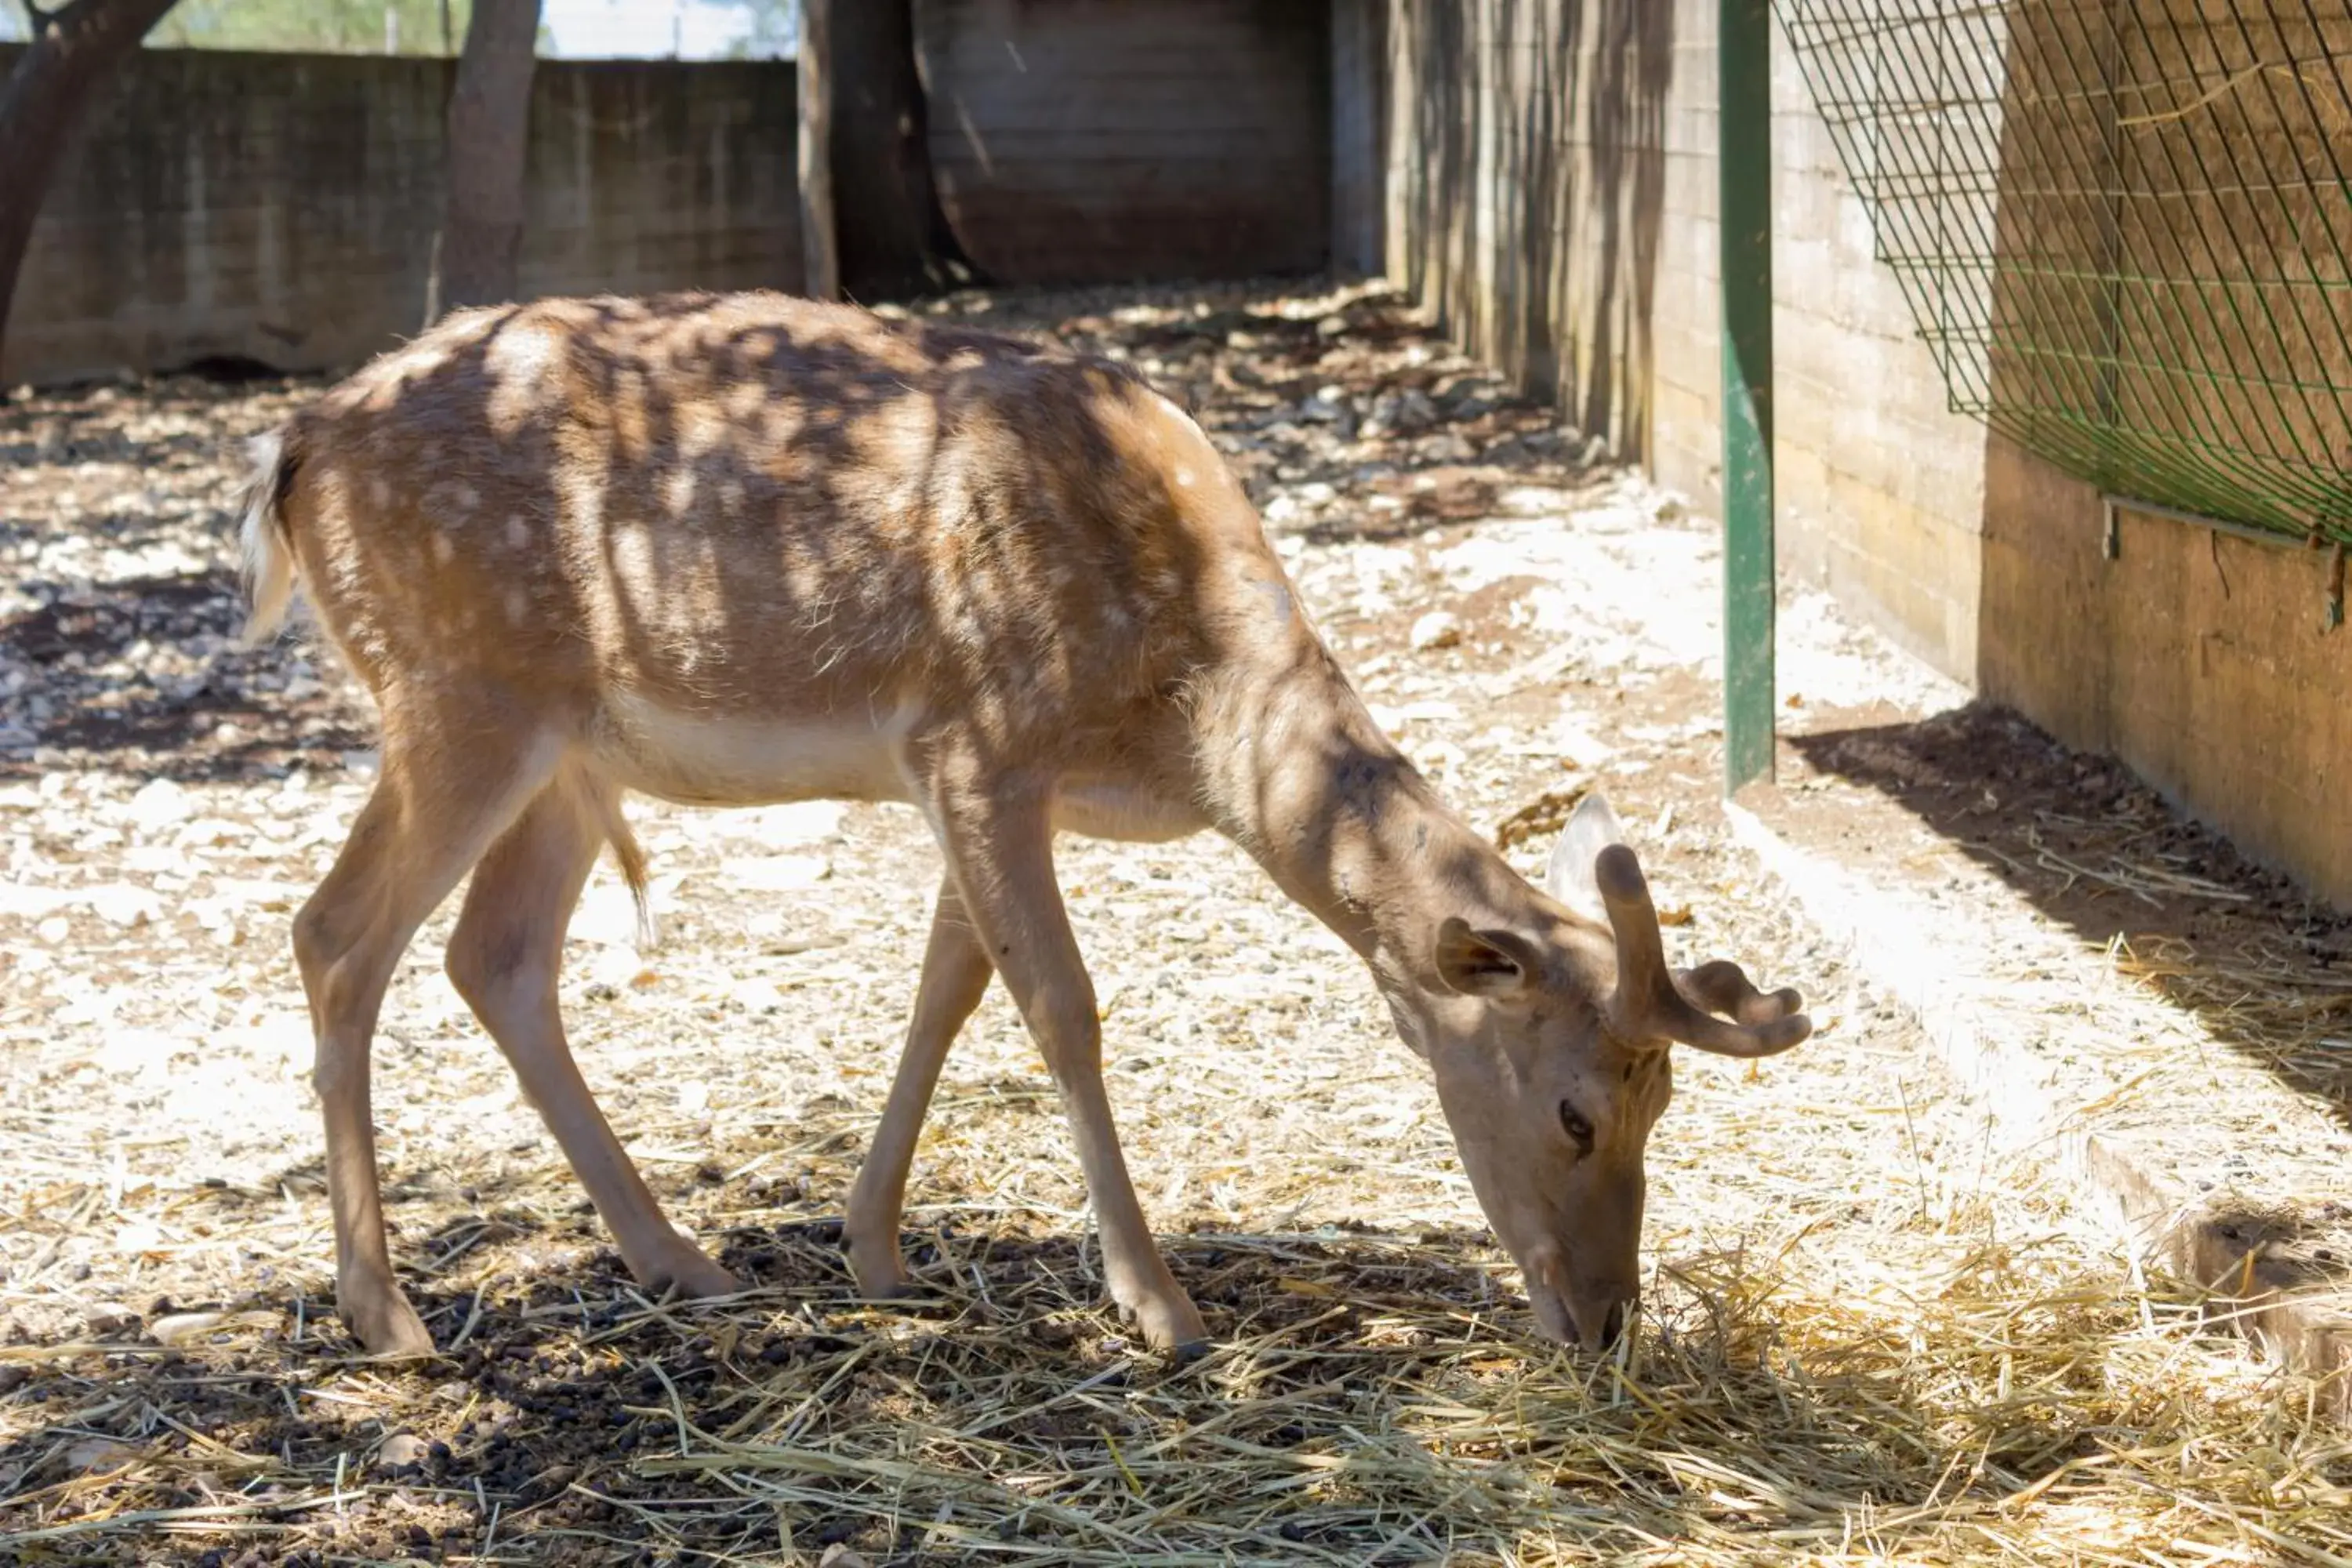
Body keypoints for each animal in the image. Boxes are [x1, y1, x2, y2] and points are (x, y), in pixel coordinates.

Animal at [238, 293, 1806, 1363]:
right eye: (1577, 1110)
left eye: (1666, 1103)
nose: (1606, 1321)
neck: (1189, 716)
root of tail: (294, 450)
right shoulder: (978, 736)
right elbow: (1058, 1002)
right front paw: (1160, 1305)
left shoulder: (978, 784)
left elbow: (951, 986)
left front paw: (874, 1250)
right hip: (458, 690)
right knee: (336, 933)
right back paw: (386, 1316)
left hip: (566, 753)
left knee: (494, 958)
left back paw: (680, 1259)